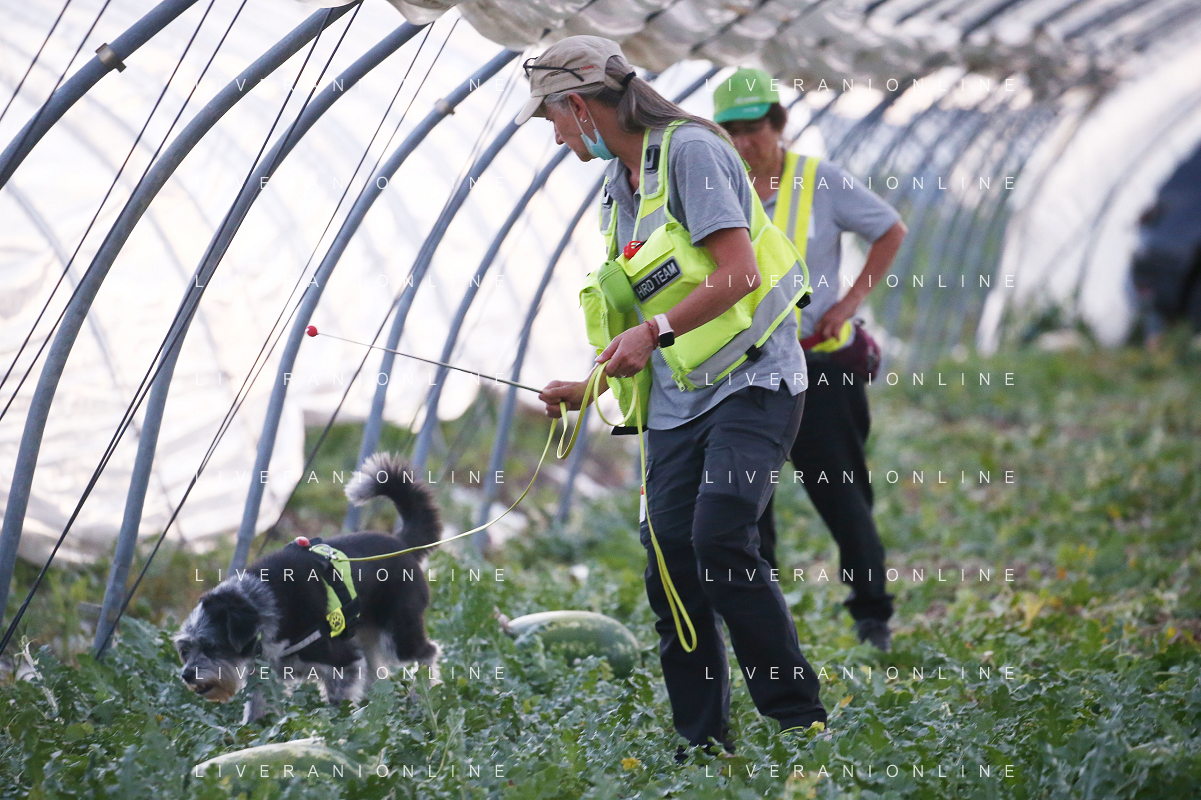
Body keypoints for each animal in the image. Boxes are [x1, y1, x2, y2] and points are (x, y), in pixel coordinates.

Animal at [174, 452, 442, 719]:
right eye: (185, 650)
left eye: (212, 646)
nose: (186, 675)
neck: (261, 604)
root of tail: (402, 543)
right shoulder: (264, 675)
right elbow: (256, 709)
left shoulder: (343, 661)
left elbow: (339, 703)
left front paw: (340, 725)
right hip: (368, 634)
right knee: (379, 673)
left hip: (398, 633)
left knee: (428, 652)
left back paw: (421, 696)